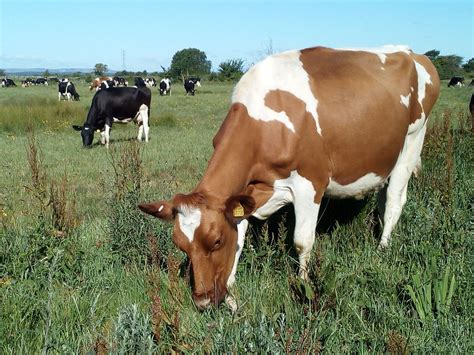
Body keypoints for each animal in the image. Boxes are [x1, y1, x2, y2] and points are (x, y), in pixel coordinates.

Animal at [138, 45, 440, 312]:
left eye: (215, 242)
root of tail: (412, 53)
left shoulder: (311, 183)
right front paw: (232, 296)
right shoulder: (249, 191)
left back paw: (382, 249)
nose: (202, 302)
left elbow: (302, 241)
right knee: (383, 197)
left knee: (394, 202)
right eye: (181, 245)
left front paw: (304, 288)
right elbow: (240, 237)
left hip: (412, 142)